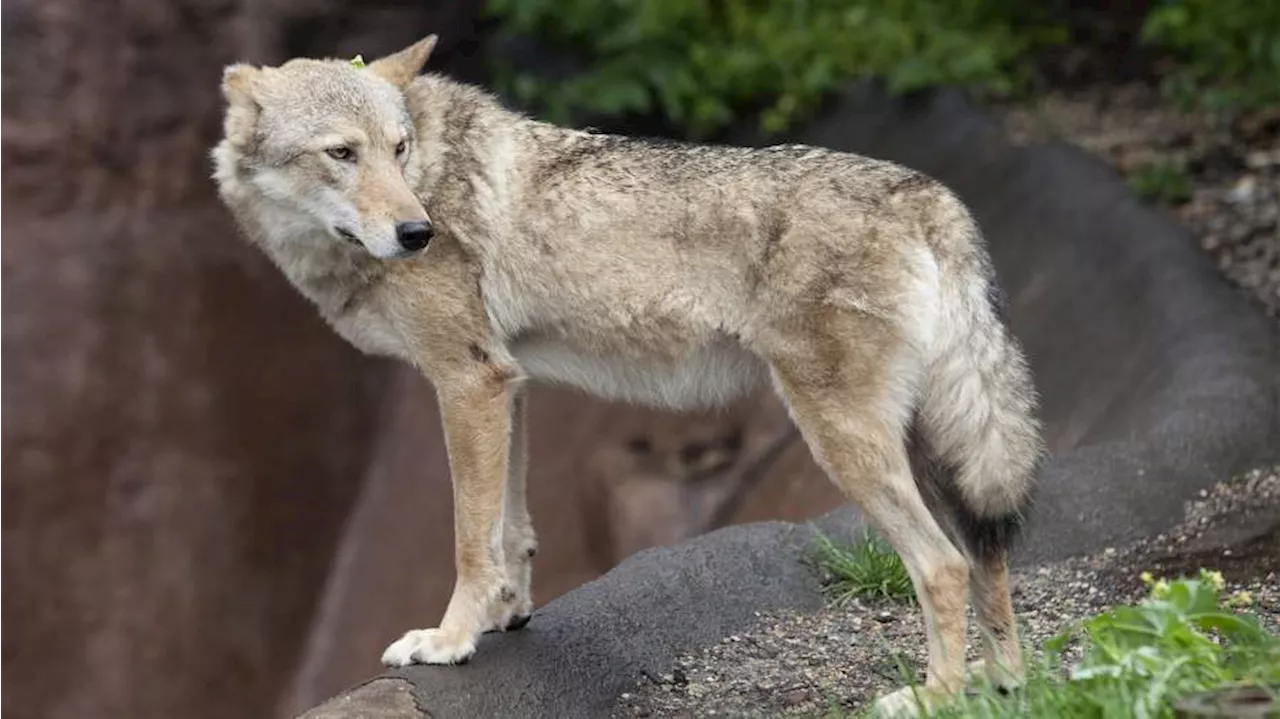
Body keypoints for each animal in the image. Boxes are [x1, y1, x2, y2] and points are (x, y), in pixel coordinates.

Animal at [215, 35, 1044, 716]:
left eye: (398, 147)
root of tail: (929, 195)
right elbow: (511, 528)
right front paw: (507, 614)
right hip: (929, 447)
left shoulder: (466, 382)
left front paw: (450, 640)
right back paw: (1003, 682)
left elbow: (469, 539)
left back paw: (936, 695)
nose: (418, 232)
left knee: (943, 565)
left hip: (845, 444)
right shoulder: (508, 383)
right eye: (342, 153)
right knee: (987, 555)